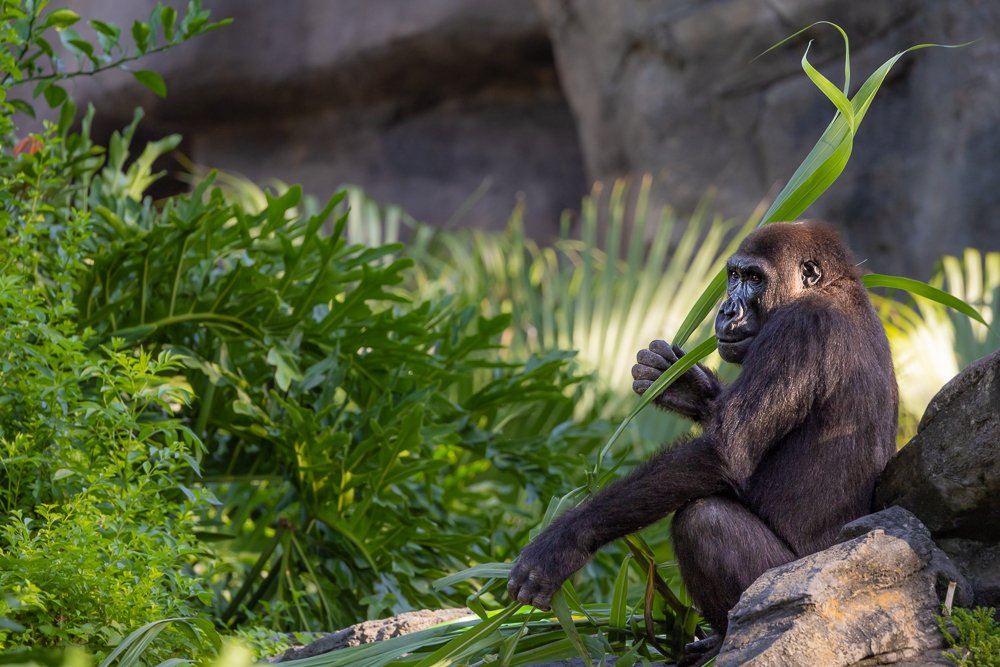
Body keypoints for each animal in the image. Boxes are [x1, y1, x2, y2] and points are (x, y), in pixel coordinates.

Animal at [508, 222, 900, 664]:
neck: (833, 287)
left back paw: (730, 635)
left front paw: (564, 542)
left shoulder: (798, 328)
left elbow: (722, 452)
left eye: (754, 279)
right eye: (734, 276)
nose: (728, 309)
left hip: (806, 597)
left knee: (704, 520)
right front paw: (684, 384)